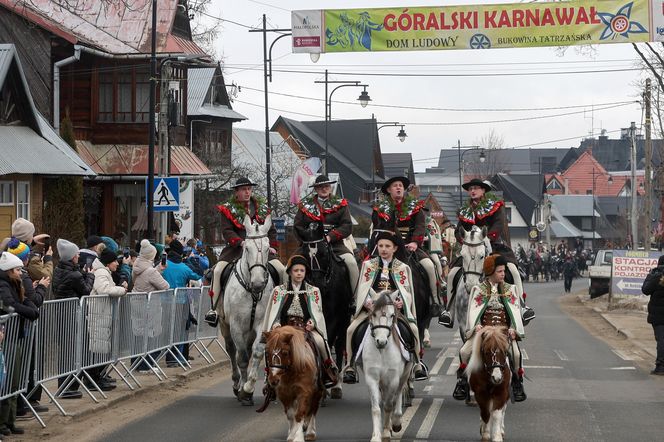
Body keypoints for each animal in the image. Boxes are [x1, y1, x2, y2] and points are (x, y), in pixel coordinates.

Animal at [219, 214, 274, 404]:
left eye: (268, 249)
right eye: (247, 249)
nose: (258, 284)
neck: (252, 292)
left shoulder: (261, 324)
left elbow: (256, 353)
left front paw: (249, 387)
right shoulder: (236, 326)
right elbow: (241, 357)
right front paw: (243, 391)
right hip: (225, 326)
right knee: (231, 350)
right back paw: (237, 383)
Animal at [360, 290, 412, 442]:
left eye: (392, 315)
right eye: (373, 314)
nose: (381, 341)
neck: (382, 351)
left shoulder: (393, 379)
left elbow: (389, 405)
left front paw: (386, 432)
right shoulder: (372, 378)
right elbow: (376, 408)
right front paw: (376, 435)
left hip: (404, 374)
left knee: (398, 394)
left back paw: (396, 422)